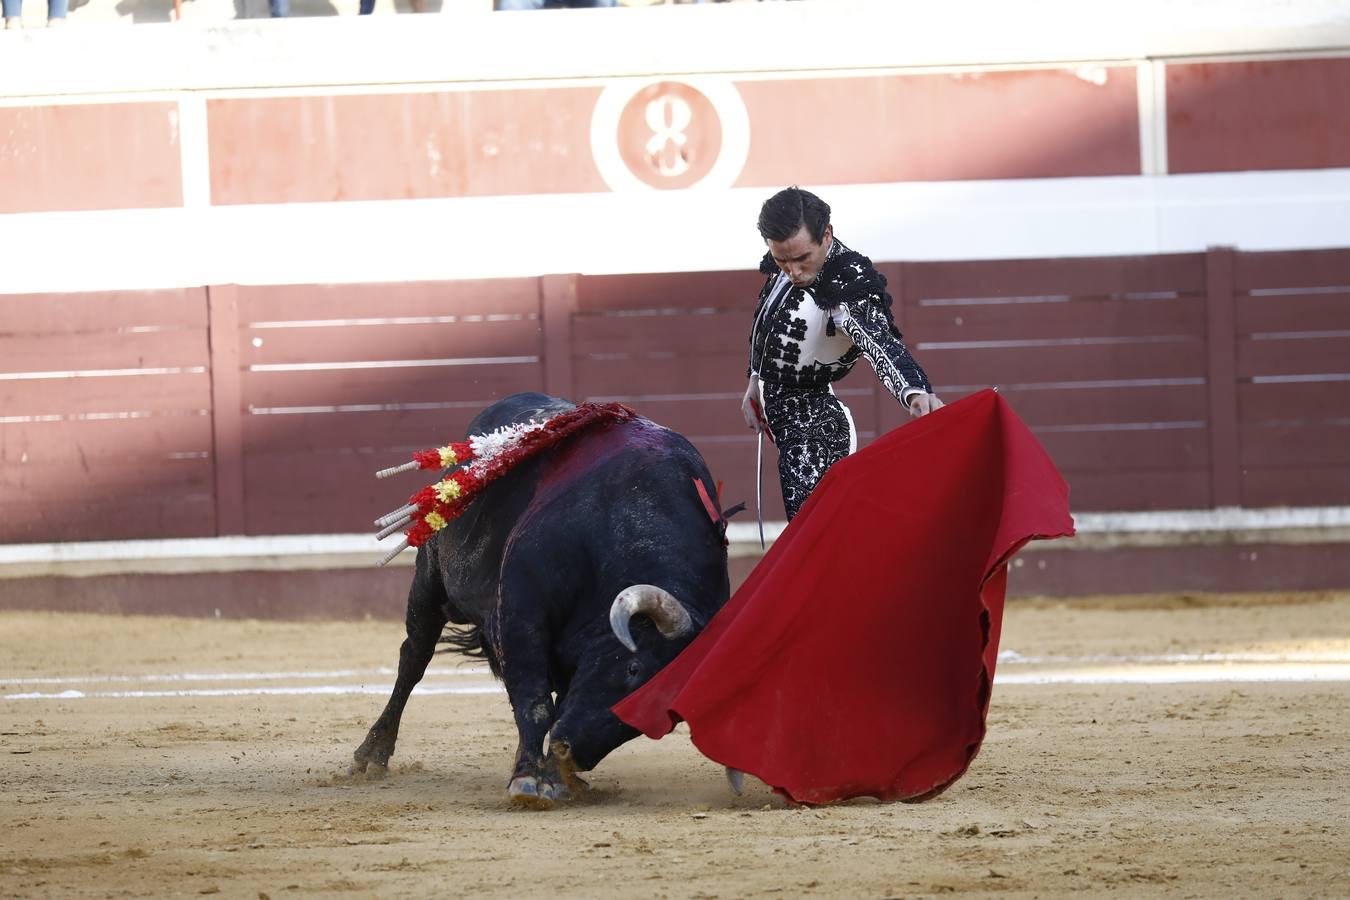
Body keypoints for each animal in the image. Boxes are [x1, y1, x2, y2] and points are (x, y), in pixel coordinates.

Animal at [348, 394, 729, 809]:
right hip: (430, 580)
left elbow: (553, 701)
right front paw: (529, 779)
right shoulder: (522, 613)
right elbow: (535, 702)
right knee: (414, 658)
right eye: (633, 669)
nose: (572, 752)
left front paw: (554, 777)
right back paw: (372, 755)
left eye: (668, 715)